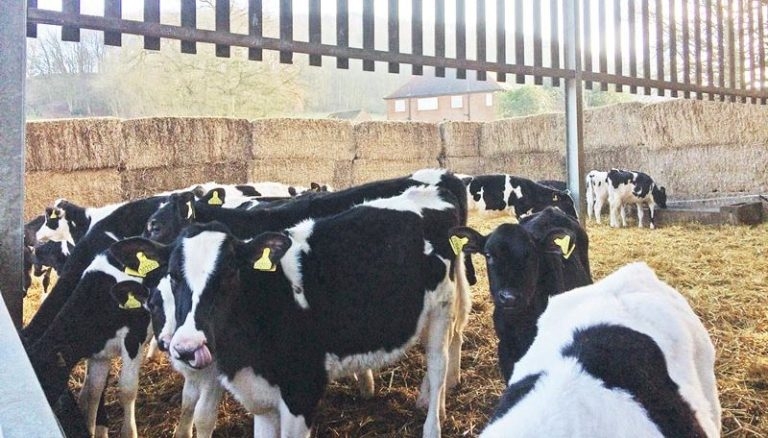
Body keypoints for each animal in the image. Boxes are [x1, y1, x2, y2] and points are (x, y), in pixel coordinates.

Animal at [110, 185, 470, 438]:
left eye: (229, 274)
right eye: (173, 275)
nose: (184, 346)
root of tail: (435, 193)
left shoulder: (302, 391)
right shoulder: (261, 400)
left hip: (442, 310)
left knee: (439, 364)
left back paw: (433, 421)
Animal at [449, 207, 592, 382]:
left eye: (531, 254)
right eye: (488, 255)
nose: (509, 297)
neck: (522, 322)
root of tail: (551, 210)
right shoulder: (505, 349)